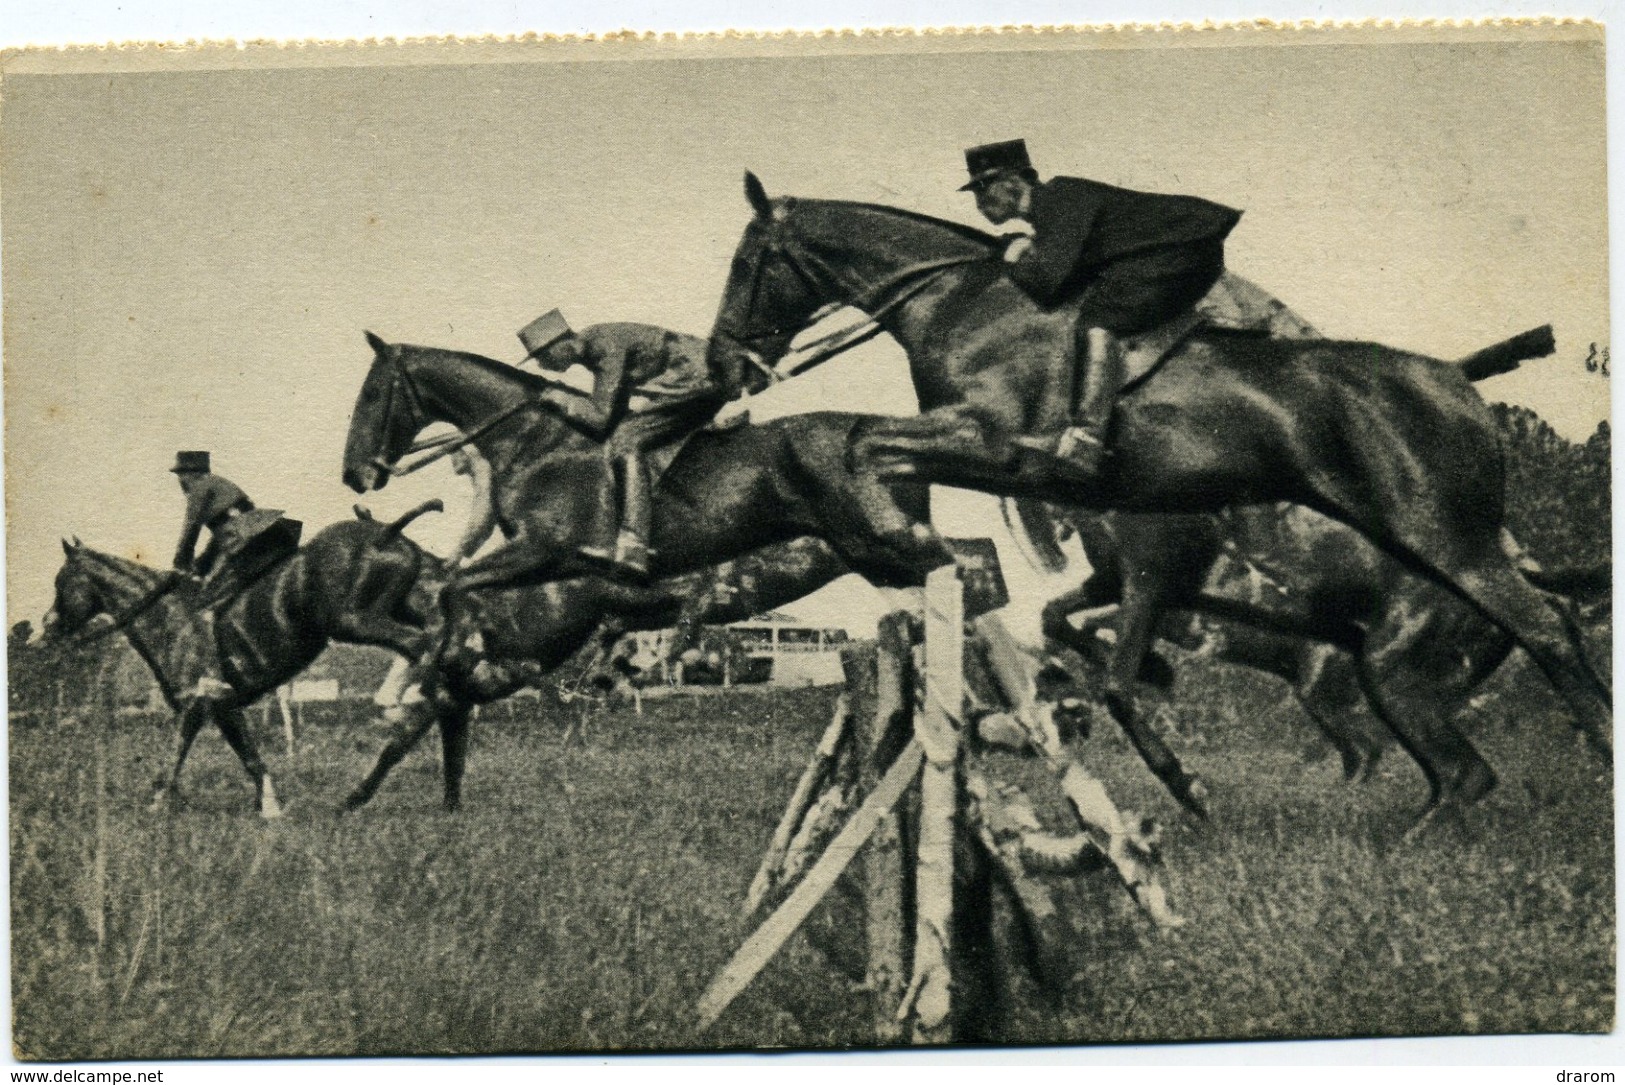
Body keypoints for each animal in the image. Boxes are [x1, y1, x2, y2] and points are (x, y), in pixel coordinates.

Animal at [47, 503, 448, 818]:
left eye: (60, 582)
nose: (48, 626)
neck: (166, 616)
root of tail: (386, 534)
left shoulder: (200, 699)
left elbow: (178, 753)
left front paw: (158, 805)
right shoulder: (222, 705)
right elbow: (248, 754)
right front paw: (270, 806)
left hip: (356, 621)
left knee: (424, 649)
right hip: (400, 610)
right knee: (436, 645)